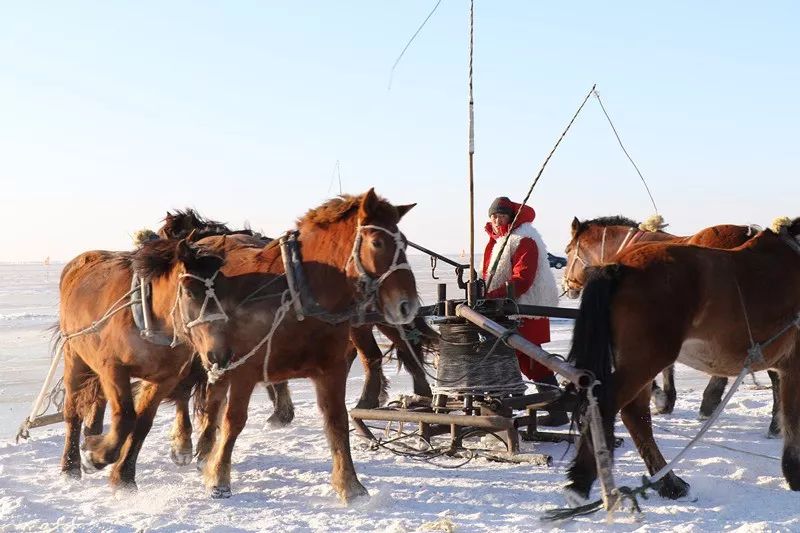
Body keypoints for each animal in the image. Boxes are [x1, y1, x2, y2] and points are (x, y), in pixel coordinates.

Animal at [57, 239, 233, 488]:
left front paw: (124, 477)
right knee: (73, 411)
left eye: (227, 293)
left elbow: (142, 424)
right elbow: (125, 417)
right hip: (74, 356)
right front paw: (95, 457)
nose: (219, 355)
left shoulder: (164, 379)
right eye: (190, 292)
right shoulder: (113, 368)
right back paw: (70, 465)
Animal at [189, 189, 418, 500]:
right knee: (210, 401)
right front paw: (219, 478)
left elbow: (337, 421)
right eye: (377, 242)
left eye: (404, 242)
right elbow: (234, 420)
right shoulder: (245, 370)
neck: (296, 294)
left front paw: (350, 485)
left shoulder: (331, 370)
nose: (408, 305)